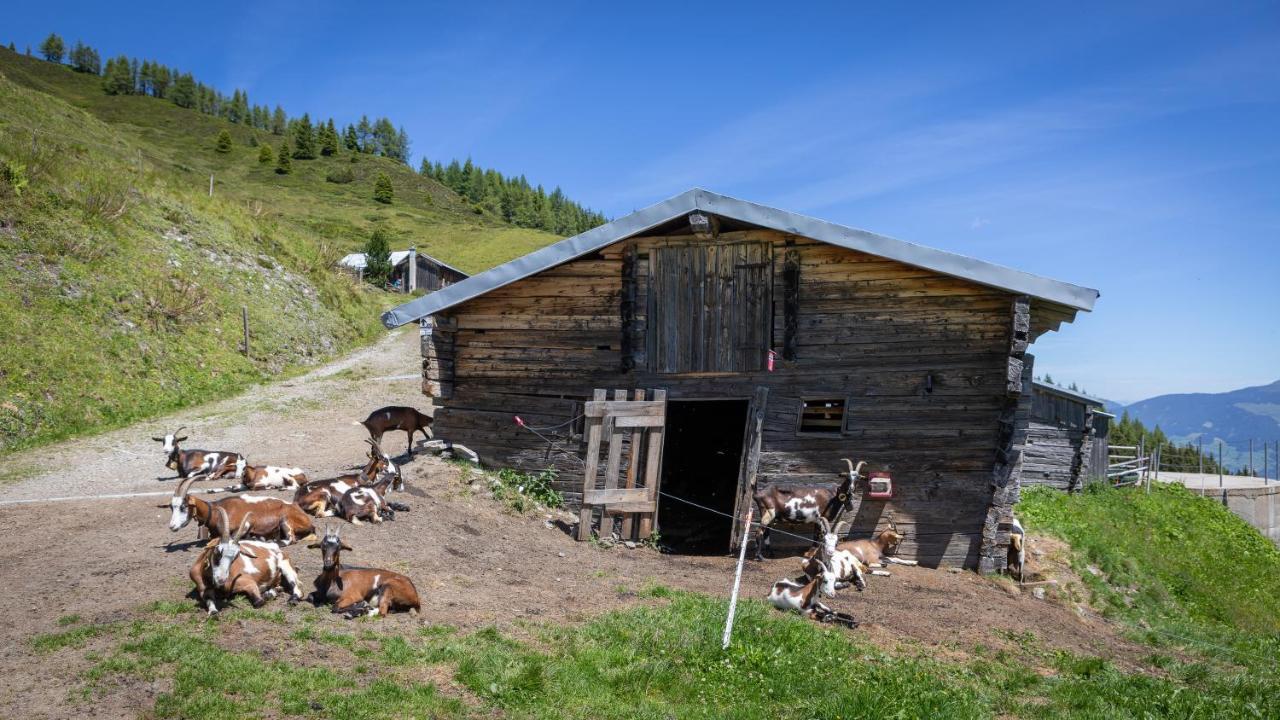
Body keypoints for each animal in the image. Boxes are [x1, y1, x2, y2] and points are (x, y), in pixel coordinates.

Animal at [163, 471, 316, 543]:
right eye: (171, 507)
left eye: (183, 506)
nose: (172, 526)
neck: (217, 510)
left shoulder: (245, 524)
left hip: (285, 520)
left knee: (290, 540)